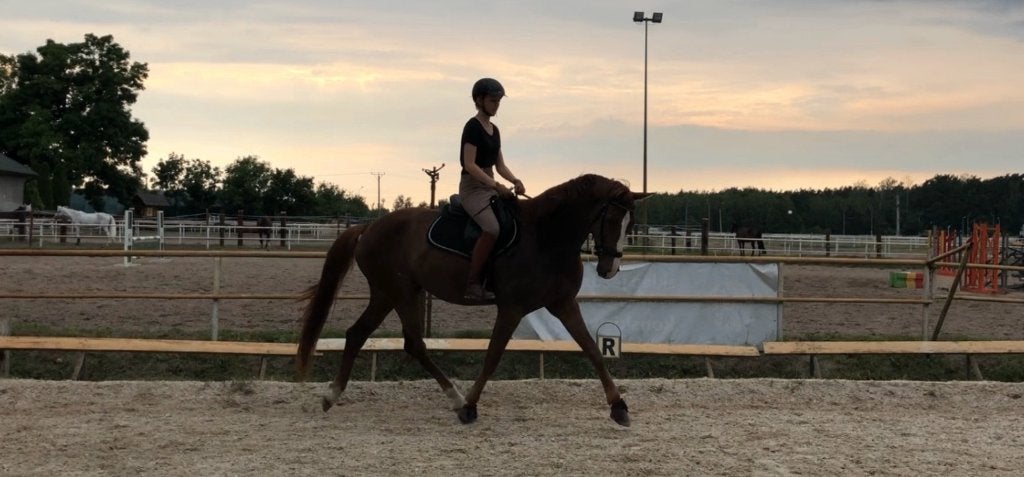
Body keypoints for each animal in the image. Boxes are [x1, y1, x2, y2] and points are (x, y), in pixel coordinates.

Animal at [297, 174, 649, 426]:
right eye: (612, 220)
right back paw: (454, 398)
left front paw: (619, 407)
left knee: (361, 334)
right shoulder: (512, 308)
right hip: (400, 293)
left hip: (389, 294)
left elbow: (592, 350)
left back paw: (332, 395)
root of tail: (369, 226)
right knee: (412, 343)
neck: (546, 237)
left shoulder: (563, 304)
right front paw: (470, 407)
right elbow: (492, 356)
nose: (609, 269)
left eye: (631, 224)